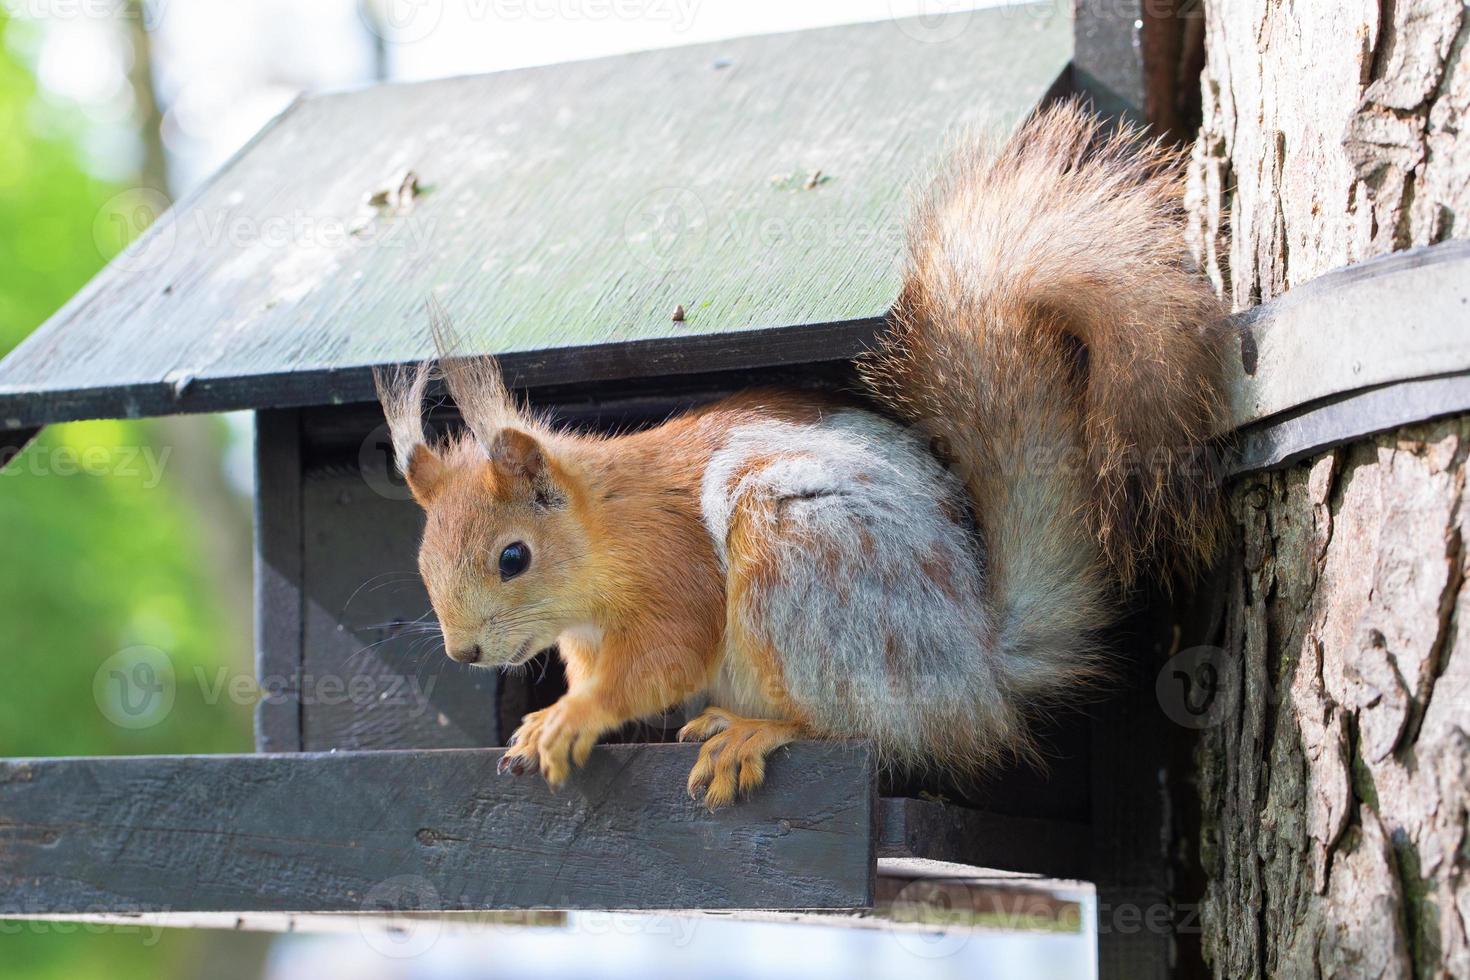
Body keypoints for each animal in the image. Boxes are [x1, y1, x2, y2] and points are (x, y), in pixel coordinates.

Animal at [373, 99, 1223, 811]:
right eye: (421, 560)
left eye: (513, 557)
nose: (463, 651)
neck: (600, 537)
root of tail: (978, 669)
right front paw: (541, 721)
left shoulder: (670, 565)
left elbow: (667, 655)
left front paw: (573, 714)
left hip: (808, 559)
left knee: (866, 727)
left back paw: (758, 730)